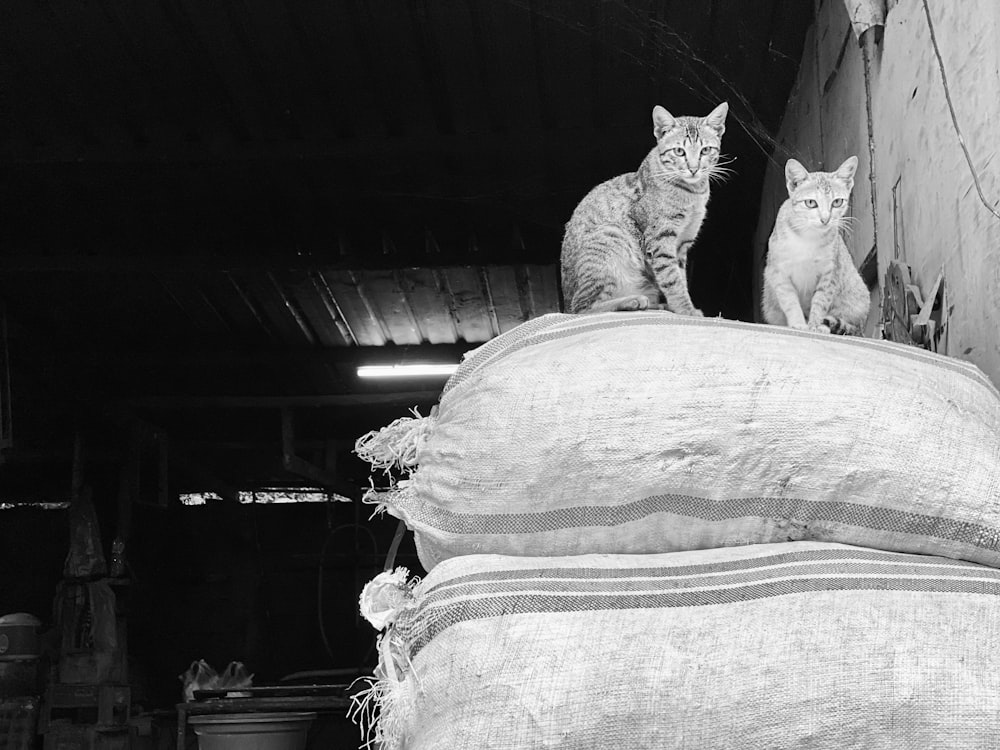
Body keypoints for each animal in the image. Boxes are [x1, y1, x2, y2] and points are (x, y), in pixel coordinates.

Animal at [560, 103, 732, 314]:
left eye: (705, 150)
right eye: (679, 151)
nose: (693, 169)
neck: (693, 193)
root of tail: (565, 301)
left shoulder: (682, 243)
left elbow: (679, 276)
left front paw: (680, 306)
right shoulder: (660, 238)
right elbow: (672, 279)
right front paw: (686, 309)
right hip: (610, 235)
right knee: (583, 308)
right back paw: (632, 301)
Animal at [760, 156, 872, 334]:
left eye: (837, 202)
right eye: (811, 203)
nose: (825, 219)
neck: (808, 236)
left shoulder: (830, 274)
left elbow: (820, 302)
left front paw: (814, 325)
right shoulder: (779, 272)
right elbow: (790, 301)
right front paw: (798, 323)